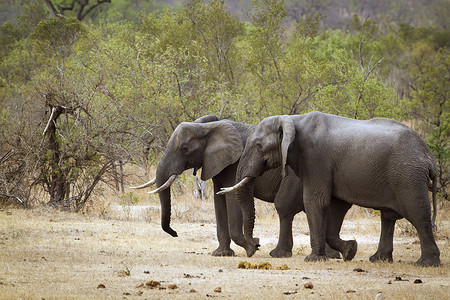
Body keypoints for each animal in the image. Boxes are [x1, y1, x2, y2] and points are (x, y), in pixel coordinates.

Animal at [132, 114, 356, 258]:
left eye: (185, 149)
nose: (175, 233)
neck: (209, 128)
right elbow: (219, 200)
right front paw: (222, 254)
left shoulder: (233, 164)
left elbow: (232, 199)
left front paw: (251, 249)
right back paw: (334, 255)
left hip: (299, 178)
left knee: (284, 208)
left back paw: (280, 254)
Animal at [221, 111, 440, 266]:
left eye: (258, 145)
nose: (255, 246)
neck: (293, 120)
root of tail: (429, 157)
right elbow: (336, 207)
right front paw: (350, 250)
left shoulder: (315, 158)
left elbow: (315, 201)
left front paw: (314, 259)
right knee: (388, 217)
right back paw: (378, 259)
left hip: (408, 178)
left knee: (418, 215)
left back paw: (425, 264)